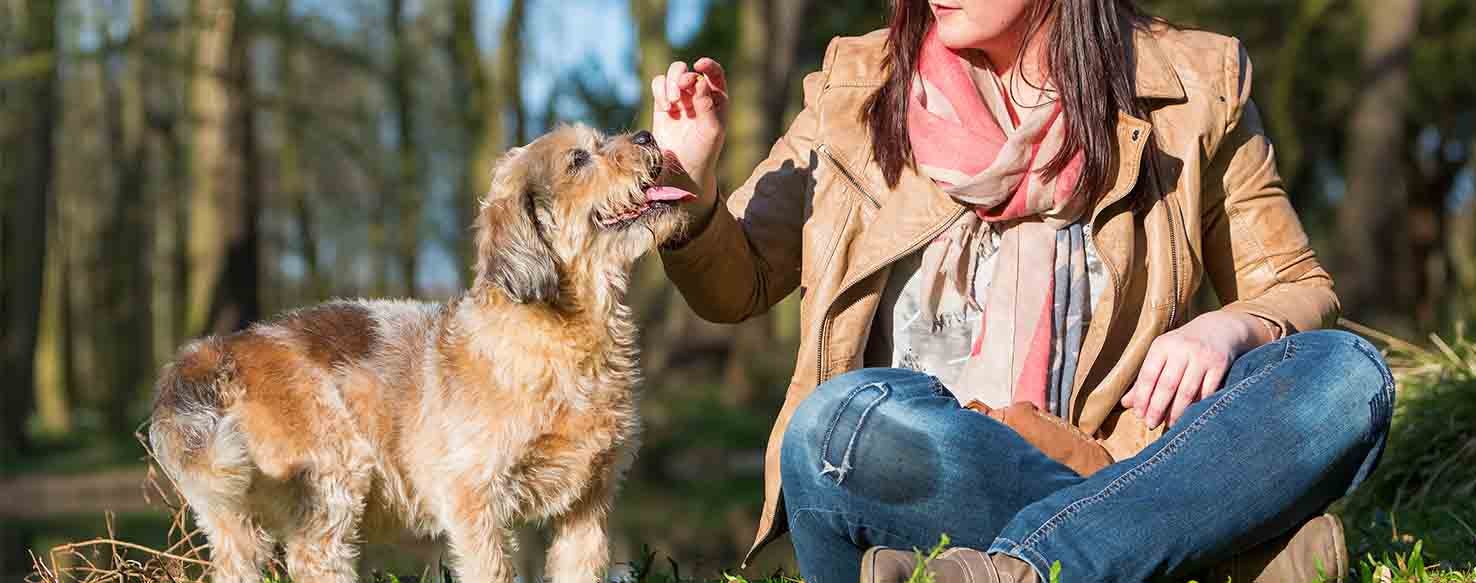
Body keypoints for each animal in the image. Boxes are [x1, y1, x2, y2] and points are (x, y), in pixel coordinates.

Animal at [149, 126, 696, 583]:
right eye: (579, 158)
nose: (646, 134)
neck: (566, 333)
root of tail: (215, 351)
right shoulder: (475, 502)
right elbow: (493, 571)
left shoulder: (586, 505)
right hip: (331, 490)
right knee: (314, 562)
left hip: (234, 521)